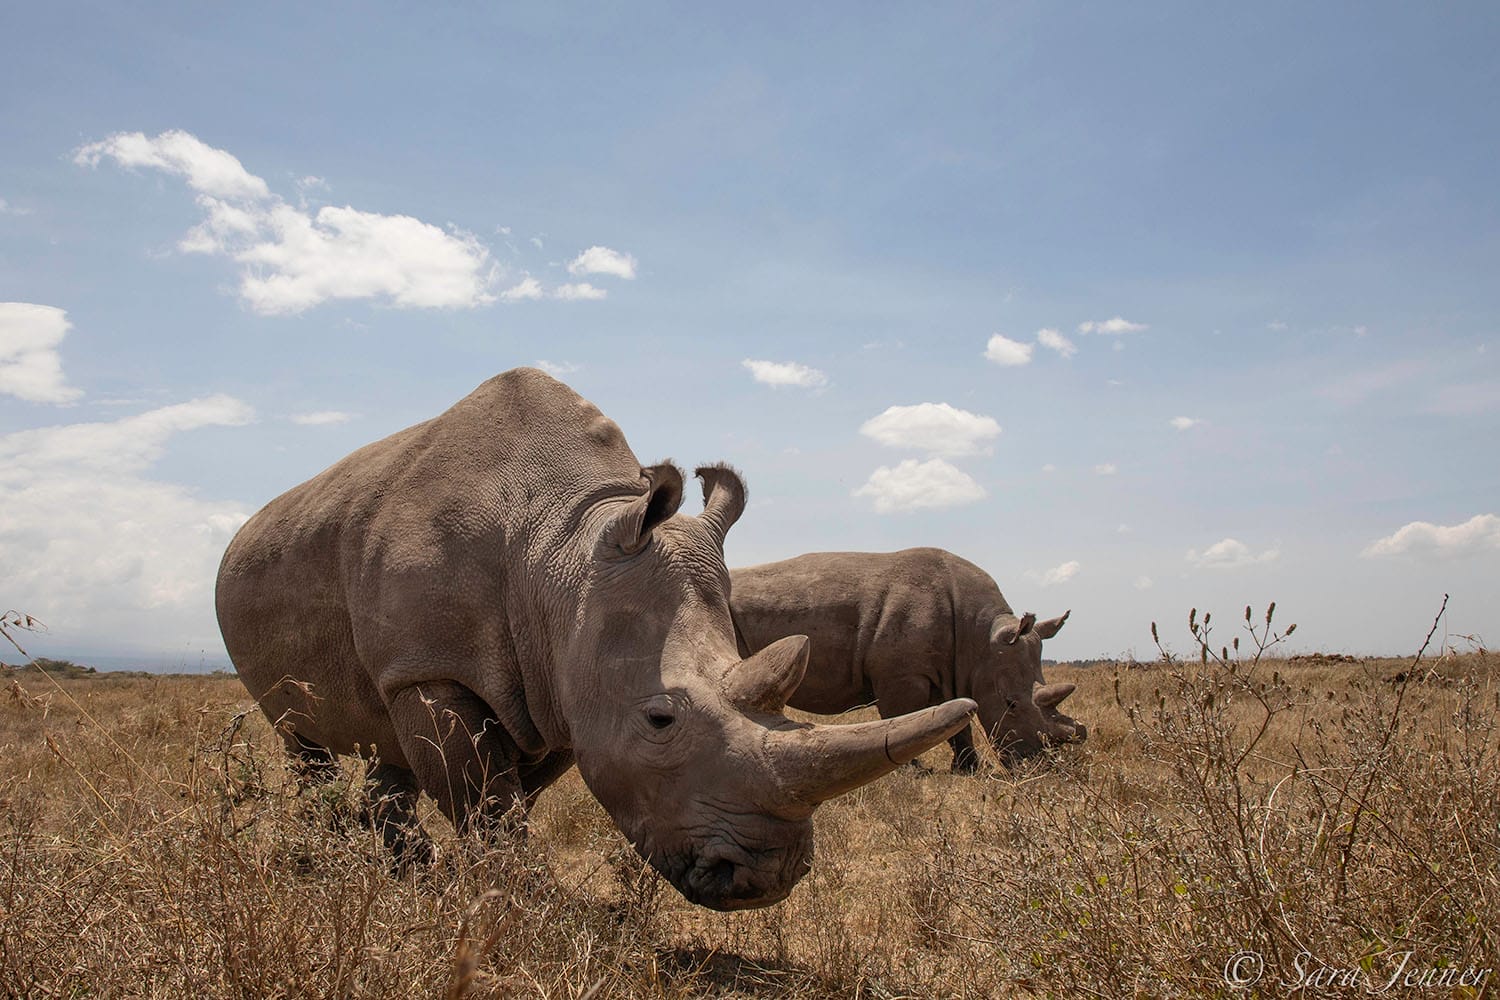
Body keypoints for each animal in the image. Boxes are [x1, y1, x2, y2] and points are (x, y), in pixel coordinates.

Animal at [216, 369, 975, 910]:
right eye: (660, 719)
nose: (769, 877)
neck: (563, 546)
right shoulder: (432, 668)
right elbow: (486, 800)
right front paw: (514, 902)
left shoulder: (555, 685)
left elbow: (511, 792)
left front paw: (495, 886)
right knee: (301, 738)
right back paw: (337, 854)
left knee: (382, 741)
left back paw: (404, 871)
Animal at [730, 548, 1084, 772]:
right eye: (1011, 704)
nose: (1040, 766)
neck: (980, 637)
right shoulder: (902, 677)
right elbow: (903, 717)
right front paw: (910, 770)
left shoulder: (953, 671)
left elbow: (959, 719)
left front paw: (968, 769)